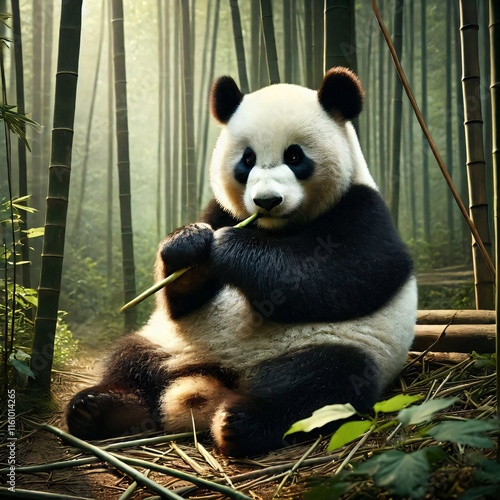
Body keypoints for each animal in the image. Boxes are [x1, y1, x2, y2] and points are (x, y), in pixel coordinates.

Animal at [67, 66, 418, 458]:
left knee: (323, 385)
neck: (274, 229)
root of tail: (216, 377)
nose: (266, 201)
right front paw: (188, 244)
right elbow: (181, 299)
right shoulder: (220, 210)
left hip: (336, 349)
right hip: (171, 340)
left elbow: (342, 276)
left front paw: (228, 248)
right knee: (130, 359)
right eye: (247, 160)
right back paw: (98, 409)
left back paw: (239, 422)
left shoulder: (362, 209)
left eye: (295, 156)